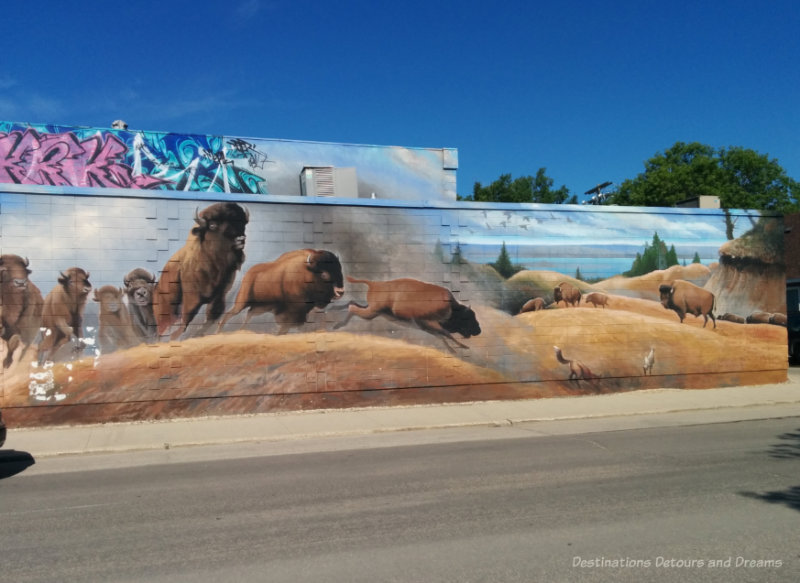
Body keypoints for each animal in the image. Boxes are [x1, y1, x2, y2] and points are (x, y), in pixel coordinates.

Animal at [152, 204, 247, 342]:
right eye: (212, 225)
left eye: (243, 224)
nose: (240, 239)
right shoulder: (192, 298)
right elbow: (187, 319)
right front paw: (176, 337)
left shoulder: (220, 295)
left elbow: (212, 316)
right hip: (167, 309)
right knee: (164, 326)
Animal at [217, 249, 346, 336]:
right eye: (324, 274)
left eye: (340, 270)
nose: (340, 292)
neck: (307, 273)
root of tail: (249, 273)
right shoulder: (292, 310)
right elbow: (287, 324)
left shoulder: (303, 310)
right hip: (242, 302)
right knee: (230, 313)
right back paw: (219, 332)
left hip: (260, 307)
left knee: (249, 314)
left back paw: (241, 330)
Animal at [332, 278, 482, 354]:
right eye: (467, 318)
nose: (478, 330)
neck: (451, 307)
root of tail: (374, 284)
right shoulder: (428, 323)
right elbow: (446, 334)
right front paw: (462, 347)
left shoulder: (427, 327)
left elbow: (442, 336)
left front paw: (454, 350)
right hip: (372, 312)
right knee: (352, 307)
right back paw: (337, 325)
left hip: (373, 311)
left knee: (352, 303)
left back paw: (334, 312)